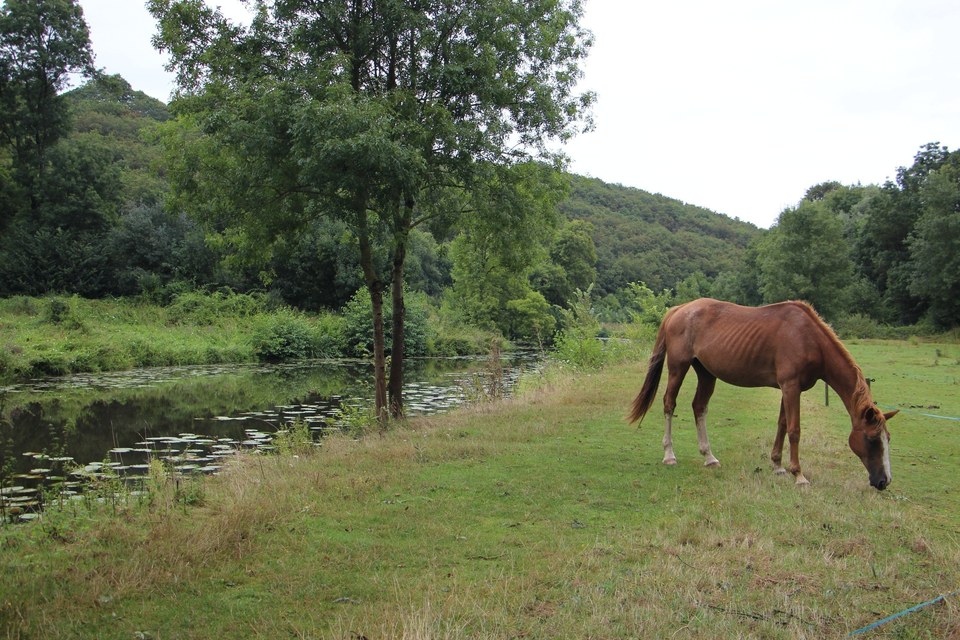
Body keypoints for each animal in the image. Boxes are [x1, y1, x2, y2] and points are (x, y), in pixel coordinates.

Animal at [627, 298, 897, 490]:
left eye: (887, 438)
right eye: (872, 439)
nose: (883, 481)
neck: (809, 338)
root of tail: (679, 309)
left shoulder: (788, 388)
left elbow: (782, 424)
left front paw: (777, 465)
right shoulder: (790, 386)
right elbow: (794, 430)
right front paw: (798, 475)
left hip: (706, 373)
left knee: (699, 407)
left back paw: (709, 457)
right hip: (678, 368)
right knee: (669, 404)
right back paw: (669, 455)